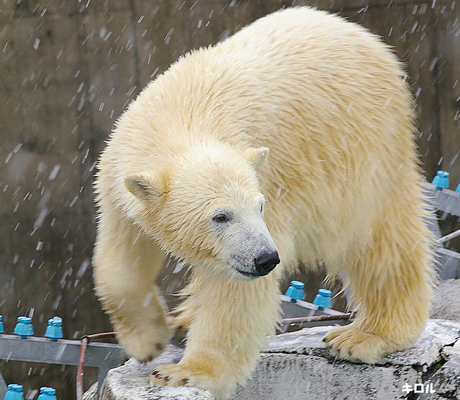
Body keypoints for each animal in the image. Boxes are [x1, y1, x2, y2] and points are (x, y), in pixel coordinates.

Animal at [93, 6, 434, 400]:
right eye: (220, 216)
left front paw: (186, 373)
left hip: (366, 146)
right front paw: (148, 342)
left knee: (380, 242)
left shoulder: (271, 177)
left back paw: (365, 336)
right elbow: (121, 259)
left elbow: (236, 294)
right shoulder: (119, 184)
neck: (182, 113)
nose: (266, 259)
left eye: (259, 207)